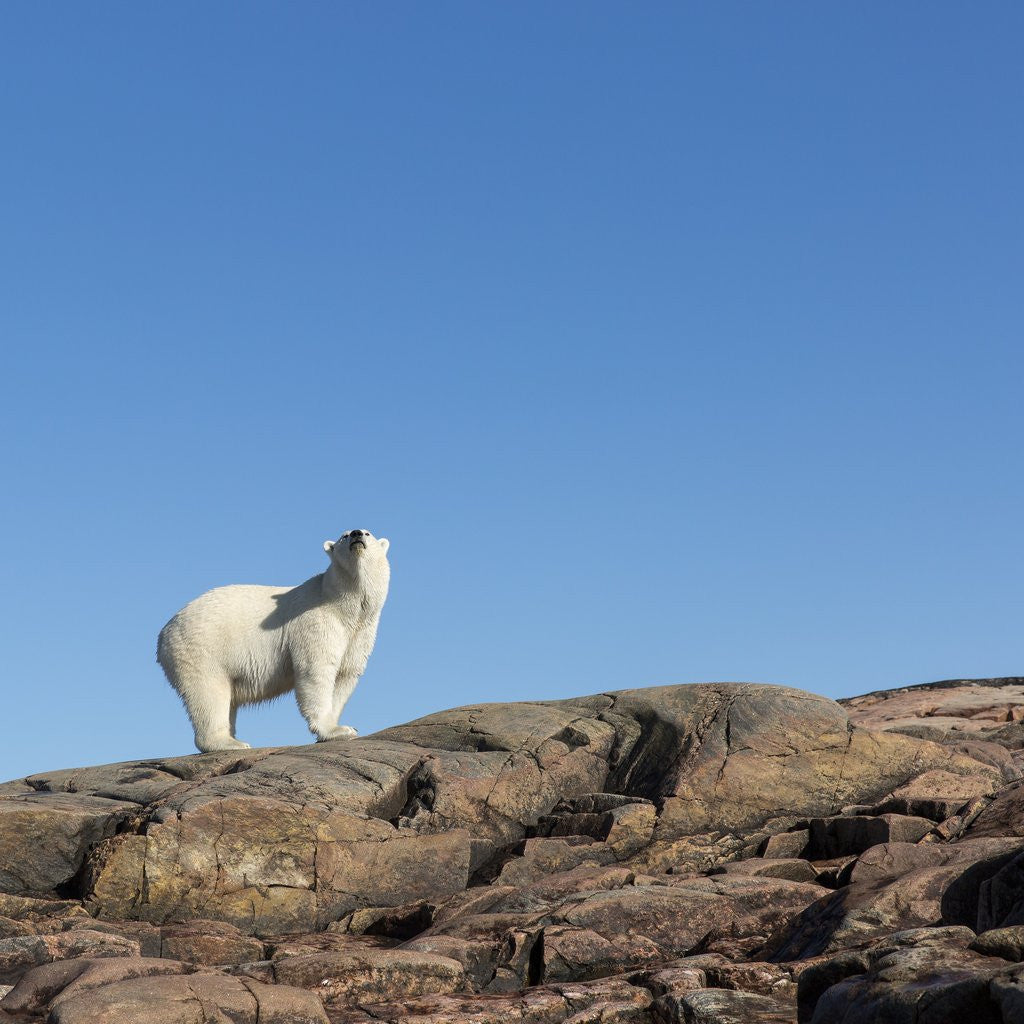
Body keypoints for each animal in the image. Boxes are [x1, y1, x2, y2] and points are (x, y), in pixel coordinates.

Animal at [157, 529, 390, 752]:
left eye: (368, 533)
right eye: (344, 535)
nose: (357, 534)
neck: (342, 605)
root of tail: (163, 635)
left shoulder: (360, 632)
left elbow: (345, 675)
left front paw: (341, 727)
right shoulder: (315, 623)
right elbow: (316, 670)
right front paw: (336, 730)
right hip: (201, 648)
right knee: (209, 693)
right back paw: (230, 743)